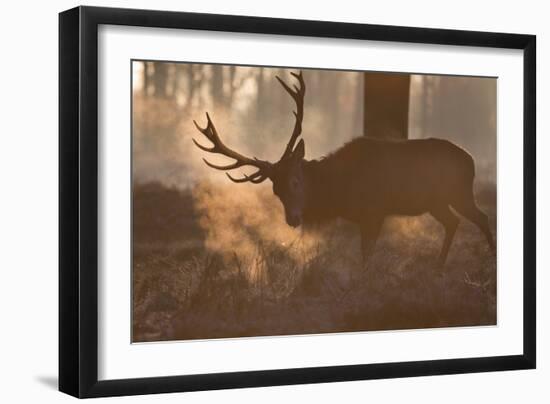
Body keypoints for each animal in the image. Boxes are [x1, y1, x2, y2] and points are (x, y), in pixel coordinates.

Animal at [193, 72, 496, 268]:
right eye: (275, 190)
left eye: (296, 181)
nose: (293, 218)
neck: (340, 191)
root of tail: (471, 159)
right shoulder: (364, 217)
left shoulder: (375, 210)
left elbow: (367, 254)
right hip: (436, 201)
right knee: (454, 222)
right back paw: (439, 266)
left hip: (458, 192)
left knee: (481, 217)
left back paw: (487, 260)